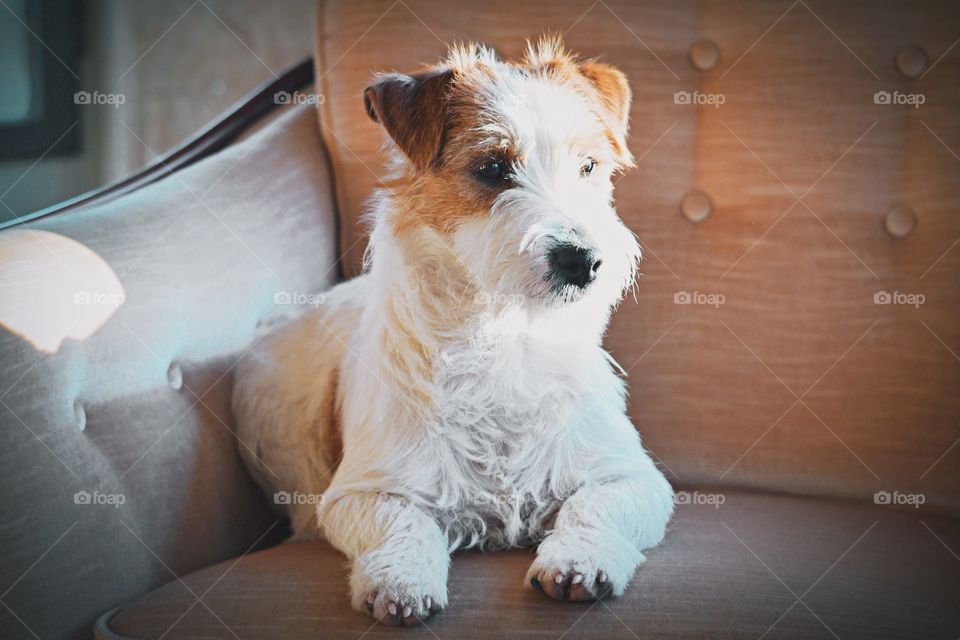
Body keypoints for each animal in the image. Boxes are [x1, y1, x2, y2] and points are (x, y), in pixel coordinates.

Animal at [231, 33, 676, 624]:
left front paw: (578, 562)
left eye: (588, 166)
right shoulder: (362, 493)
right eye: (491, 168)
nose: (583, 260)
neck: (506, 335)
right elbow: (405, 524)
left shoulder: (632, 478)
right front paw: (401, 580)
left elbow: (593, 507)